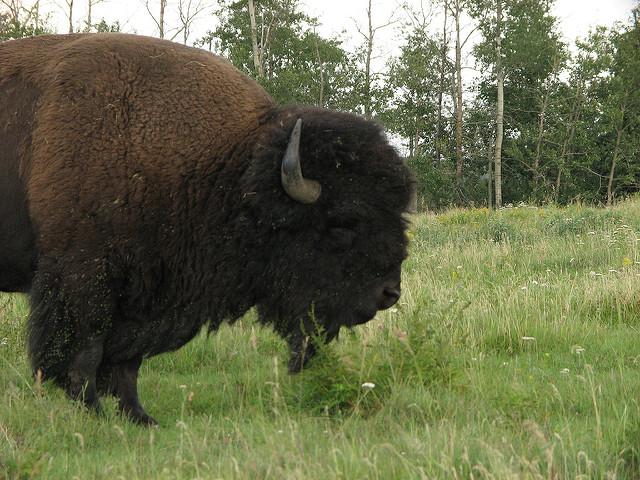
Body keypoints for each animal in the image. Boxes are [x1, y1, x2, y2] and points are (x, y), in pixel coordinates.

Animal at [1, 33, 416, 424]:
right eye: (342, 225)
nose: (388, 293)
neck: (229, 170)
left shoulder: (145, 289)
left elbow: (125, 361)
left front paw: (140, 417)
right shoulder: (84, 275)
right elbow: (85, 351)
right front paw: (95, 413)